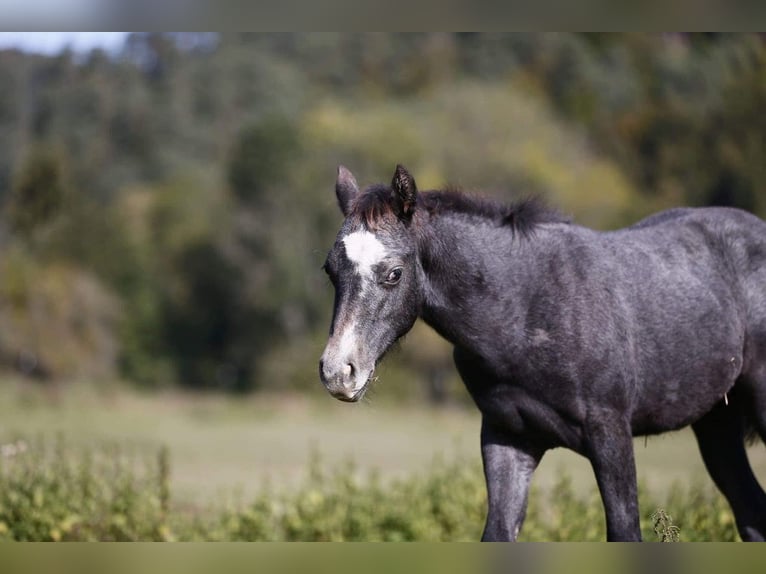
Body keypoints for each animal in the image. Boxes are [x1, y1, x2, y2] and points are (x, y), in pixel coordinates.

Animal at [318, 164, 766, 541]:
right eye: (330, 270)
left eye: (394, 273)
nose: (338, 372)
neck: (525, 308)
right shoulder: (509, 438)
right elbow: (498, 533)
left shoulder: (611, 435)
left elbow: (624, 531)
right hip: (716, 422)